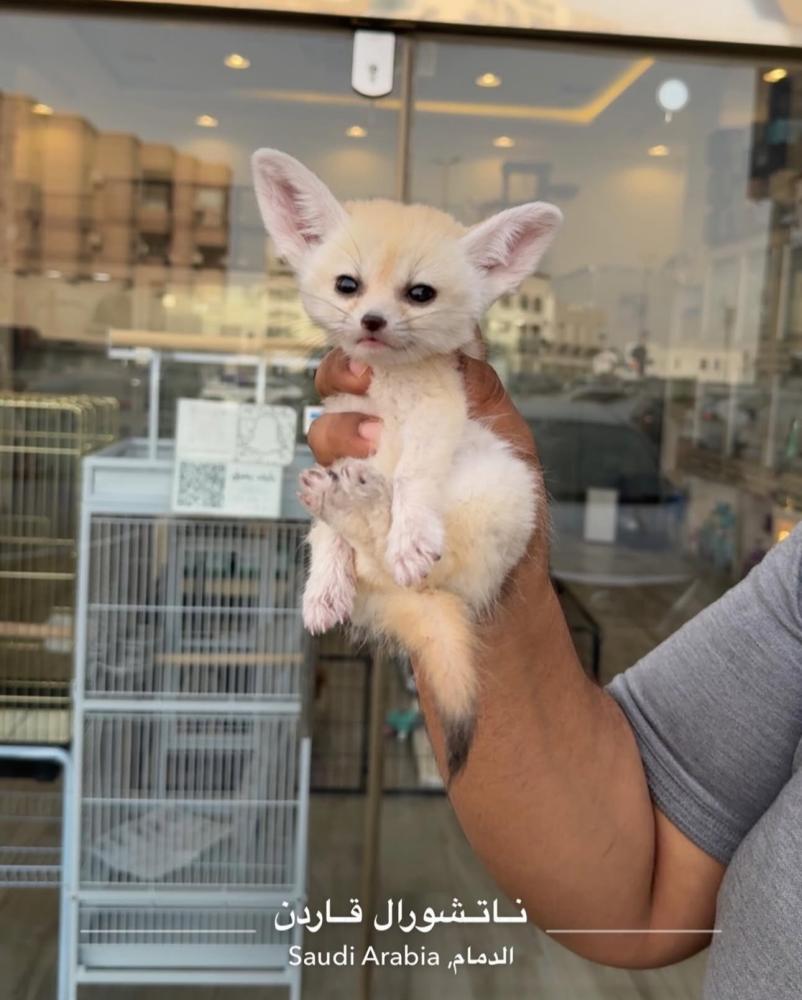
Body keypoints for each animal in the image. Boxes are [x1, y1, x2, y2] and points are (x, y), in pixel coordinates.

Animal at [251, 148, 562, 780]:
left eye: (420, 293)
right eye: (348, 285)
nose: (372, 320)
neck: (390, 391)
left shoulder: (437, 416)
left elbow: (414, 478)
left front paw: (411, 533)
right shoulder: (343, 429)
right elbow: (327, 537)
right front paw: (324, 580)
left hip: (503, 490)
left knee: (395, 557)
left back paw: (372, 513)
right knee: (351, 547)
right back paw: (337, 543)